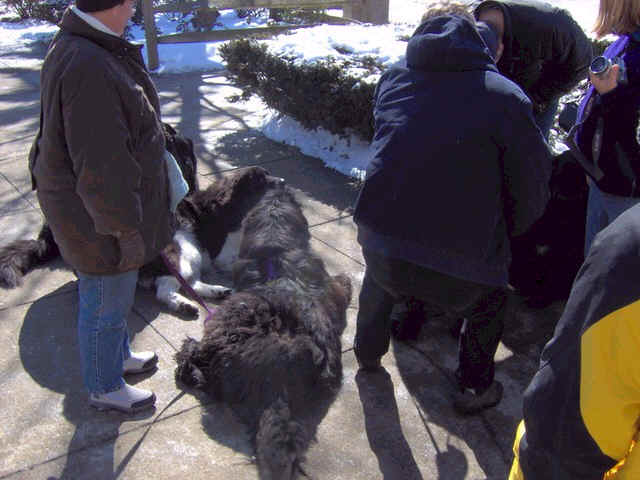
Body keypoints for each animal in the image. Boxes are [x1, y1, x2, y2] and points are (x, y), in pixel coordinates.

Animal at [174, 182, 353, 480]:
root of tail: (279, 380)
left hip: (223, 329)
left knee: (197, 366)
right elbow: (343, 284)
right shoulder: (332, 288)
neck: (276, 250)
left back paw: (187, 354)